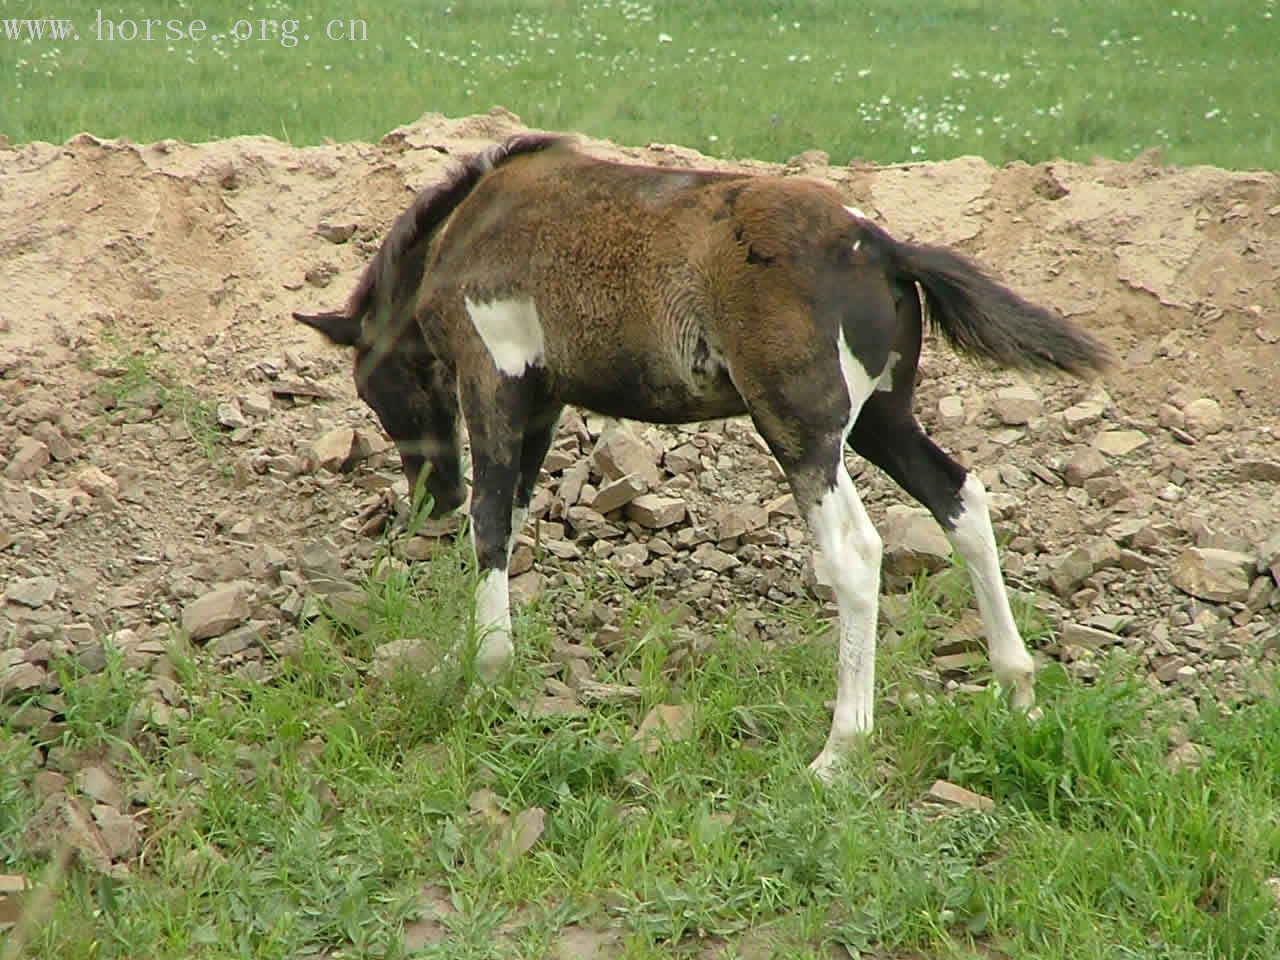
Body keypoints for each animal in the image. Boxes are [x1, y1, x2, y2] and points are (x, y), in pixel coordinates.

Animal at [299, 135, 1111, 783]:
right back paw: (1018, 690)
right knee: (960, 501)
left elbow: (494, 520)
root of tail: (875, 245)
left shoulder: (493, 377)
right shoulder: (545, 399)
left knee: (857, 553)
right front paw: (470, 656)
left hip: (799, 428)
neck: (472, 226)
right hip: (880, 420)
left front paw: (487, 668)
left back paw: (840, 749)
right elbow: (518, 512)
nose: (429, 499)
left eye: (375, 388)